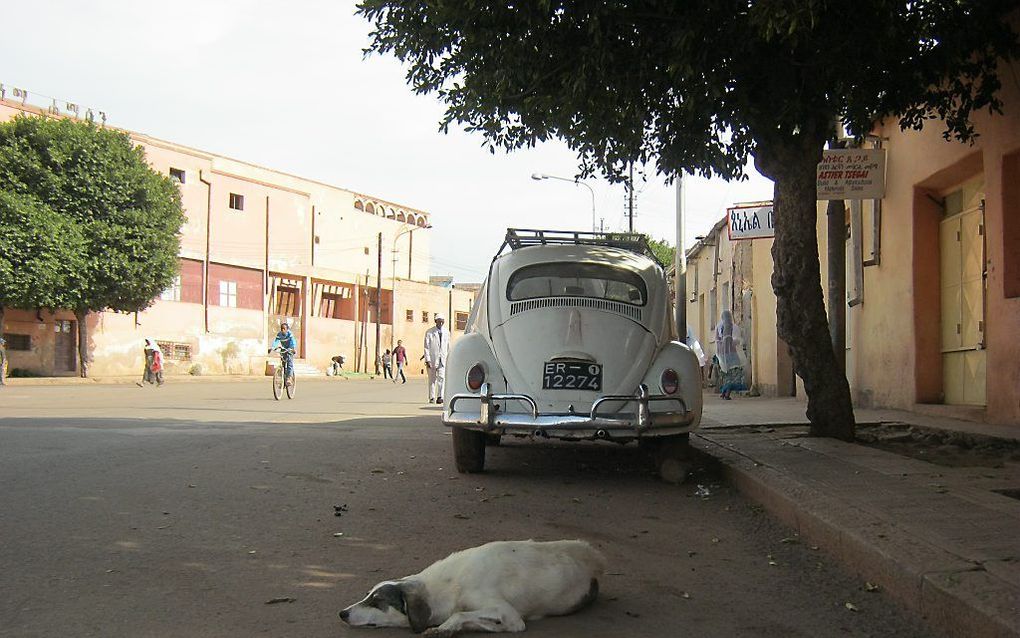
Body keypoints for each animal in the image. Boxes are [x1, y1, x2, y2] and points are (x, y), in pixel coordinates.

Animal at [338, 538, 603, 636]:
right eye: (366, 596)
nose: (342, 613)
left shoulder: (511, 616)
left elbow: (458, 615)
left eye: (377, 601)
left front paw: (443, 629)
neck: (447, 587)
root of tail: (593, 559)